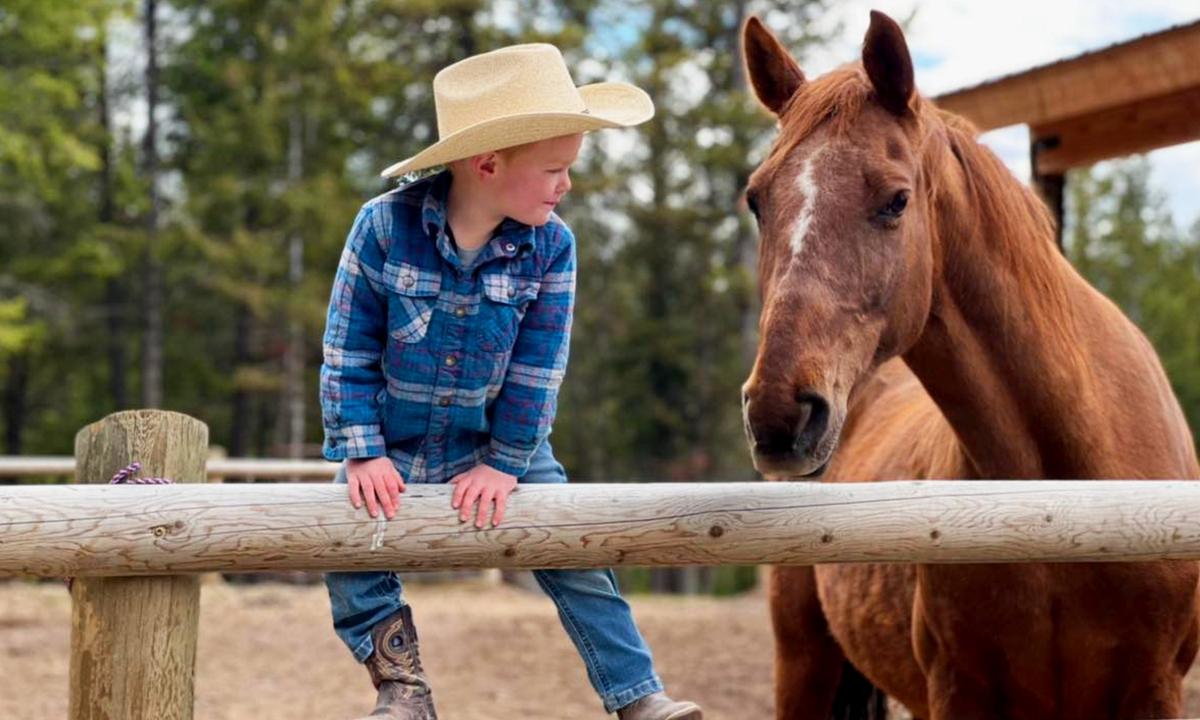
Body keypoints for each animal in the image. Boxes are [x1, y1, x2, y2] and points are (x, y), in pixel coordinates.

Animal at [737, 11, 1200, 720]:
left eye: (897, 200)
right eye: (757, 200)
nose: (779, 414)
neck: (1061, 504)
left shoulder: (1154, 690)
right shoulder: (959, 690)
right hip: (804, 666)